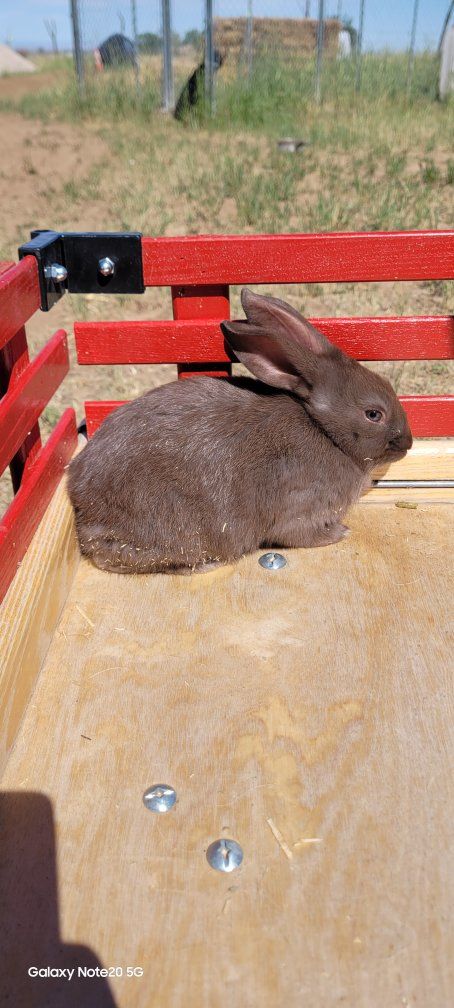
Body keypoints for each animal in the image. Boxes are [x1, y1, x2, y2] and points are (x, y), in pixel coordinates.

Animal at [67, 288, 412, 574]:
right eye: (373, 414)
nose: (408, 442)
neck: (323, 430)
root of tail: (80, 502)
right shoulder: (300, 510)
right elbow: (300, 535)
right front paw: (339, 533)